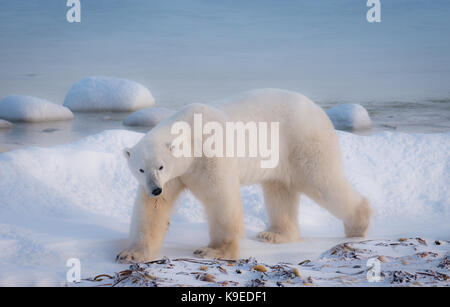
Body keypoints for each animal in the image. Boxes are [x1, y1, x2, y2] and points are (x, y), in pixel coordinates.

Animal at [117, 88, 372, 264]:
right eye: (140, 169)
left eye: (161, 166)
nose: (155, 189)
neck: (190, 131)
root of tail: (318, 110)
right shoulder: (175, 176)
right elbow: (152, 210)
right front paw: (130, 254)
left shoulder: (209, 156)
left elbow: (220, 199)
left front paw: (213, 250)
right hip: (281, 158)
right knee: (279, 192)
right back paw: (274, 234)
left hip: (303, 143)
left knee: (323, 181)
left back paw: (358, 224)